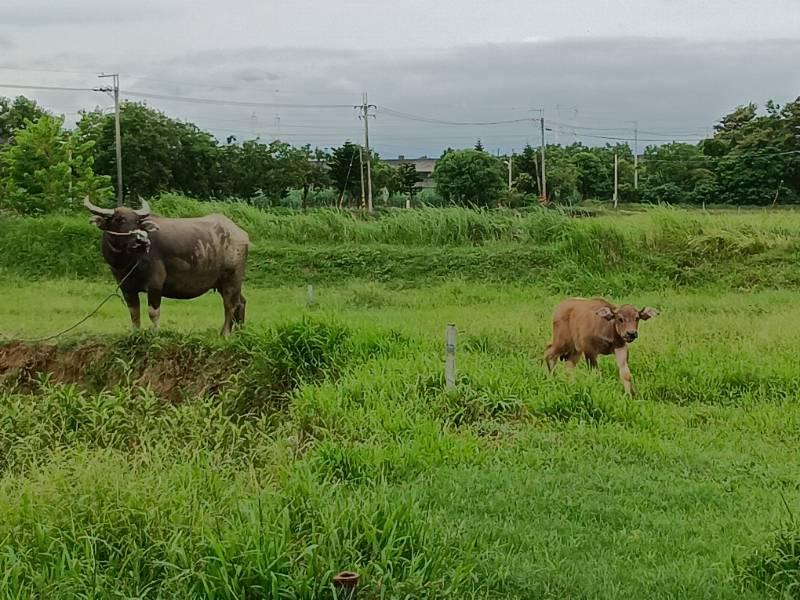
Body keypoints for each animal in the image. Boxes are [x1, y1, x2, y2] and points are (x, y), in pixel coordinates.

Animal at [84, 198, 250, 336]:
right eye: (119, 220)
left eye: (137, 221)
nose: (140, 240)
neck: (128, 261)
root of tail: (241, 235)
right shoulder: (127, 288)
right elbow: (134, 313)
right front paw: (135, 333)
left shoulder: (155, 285)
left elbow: (153, 312)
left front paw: (155, 333)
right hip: (223, 283)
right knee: (241, 302)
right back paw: (239, 331)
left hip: (231, 279)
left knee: (230, 305)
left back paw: (225, 333)